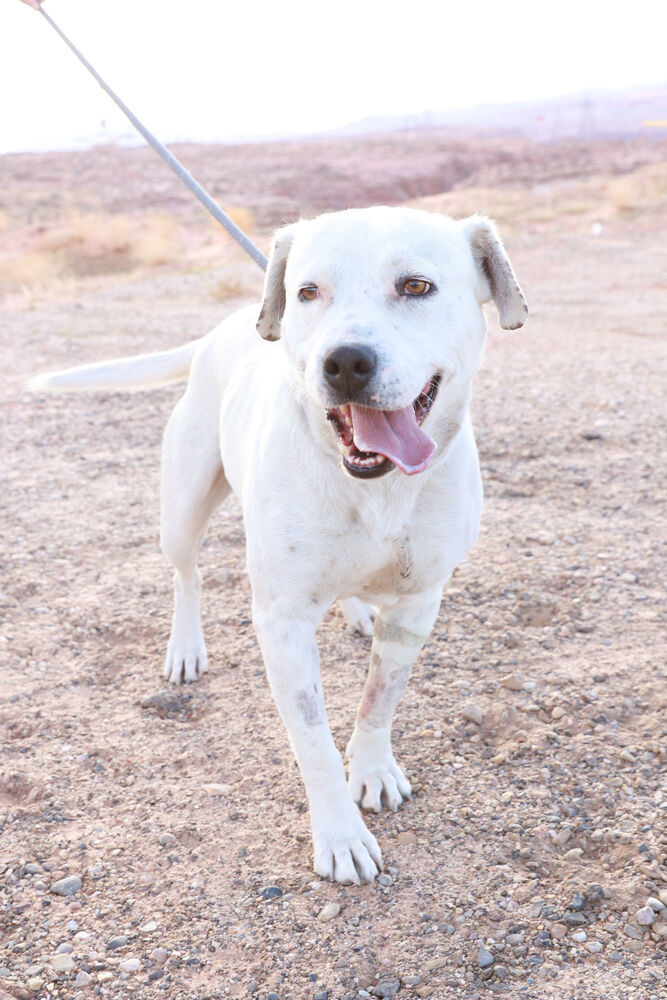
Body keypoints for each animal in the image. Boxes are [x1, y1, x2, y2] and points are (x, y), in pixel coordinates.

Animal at [32, 205, 528, 884]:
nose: (344, 362)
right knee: (187, 577)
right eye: (307, 292)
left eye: (416, 286)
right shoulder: (282, 621)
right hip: (182, 509)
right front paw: (341, 834)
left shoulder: (420, 601)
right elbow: (313, 740)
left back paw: (354, 611)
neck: (375, 484)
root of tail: (217, 332)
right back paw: (185, 648)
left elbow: (380, 696)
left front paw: (373, 769)